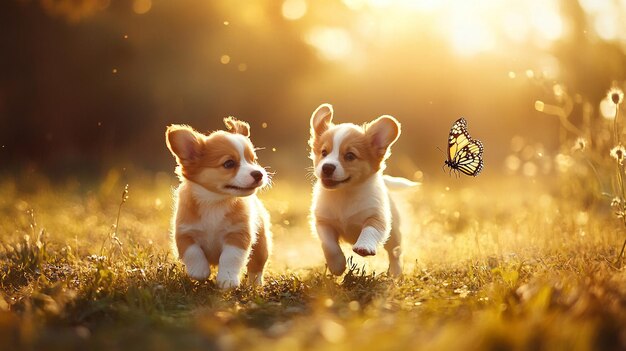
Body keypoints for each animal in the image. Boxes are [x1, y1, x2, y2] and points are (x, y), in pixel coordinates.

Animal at [166, 117, 270, 290]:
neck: (214, 201)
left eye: (253, 160)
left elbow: (230, 258)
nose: (259, 174)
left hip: (261, 246)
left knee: (256, 268)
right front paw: (199, 272)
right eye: (229, 164)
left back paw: (255, 285)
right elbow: (192, 252)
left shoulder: (238, 235)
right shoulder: (184, 233)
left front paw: (227, 279)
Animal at [306, 104, 414, 278]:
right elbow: (329, 246)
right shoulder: (323, 223)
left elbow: (369, 230)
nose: (327, 167)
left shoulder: (378, 218)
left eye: (350, 156)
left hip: (394, 234)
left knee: (395, 253)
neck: (345, 193)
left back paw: (395, 273)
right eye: (324, 153)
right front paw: (337, 266)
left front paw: (364, 246)